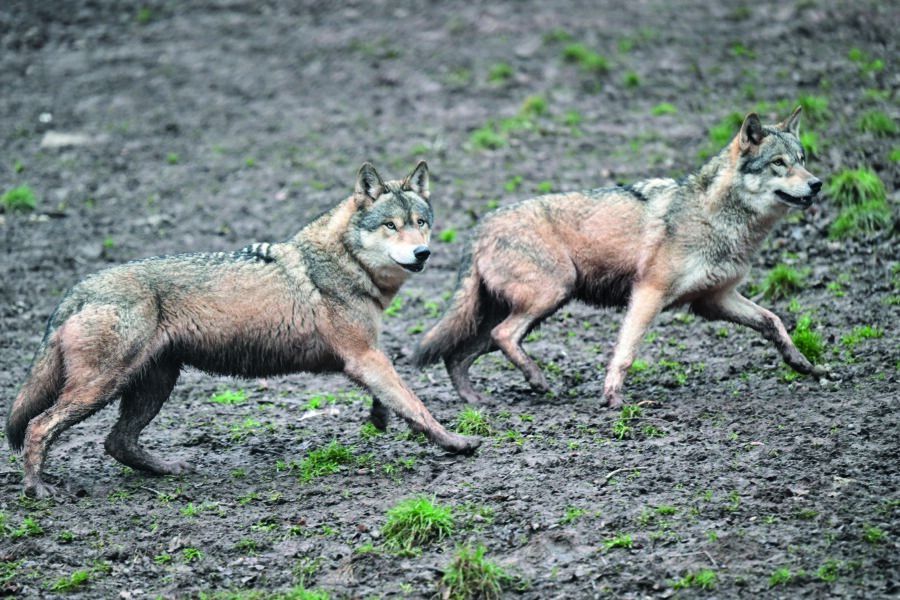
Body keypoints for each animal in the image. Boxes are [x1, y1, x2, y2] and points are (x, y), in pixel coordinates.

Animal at [7, 159, 482, 496]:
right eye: (390, 226)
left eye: (420, 223)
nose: (422, 253)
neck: (343, 262)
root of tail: (78, 288)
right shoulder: (365, 356)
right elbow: (416, 404)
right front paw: (455, 442)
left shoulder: (366, 358)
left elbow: (391, 400)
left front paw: (381, 420)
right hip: (102, 387)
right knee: (40, 426)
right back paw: (37, 489)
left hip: (152, 385)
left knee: (116, 442)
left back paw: (169, 470)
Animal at [412, 108, 828, 408]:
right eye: (778, 163)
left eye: (802, 159)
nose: (817, 183)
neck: (718, 218)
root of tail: (479, 226)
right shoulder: (648, 293)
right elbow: (626, 352)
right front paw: (612, 397)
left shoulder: (714, 300)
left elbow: (774, 322)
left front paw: (804, 365)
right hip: (551, 296)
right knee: (501, 337)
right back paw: (540, 382)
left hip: (521, 312)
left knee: (459, 356)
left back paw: (477, 400)